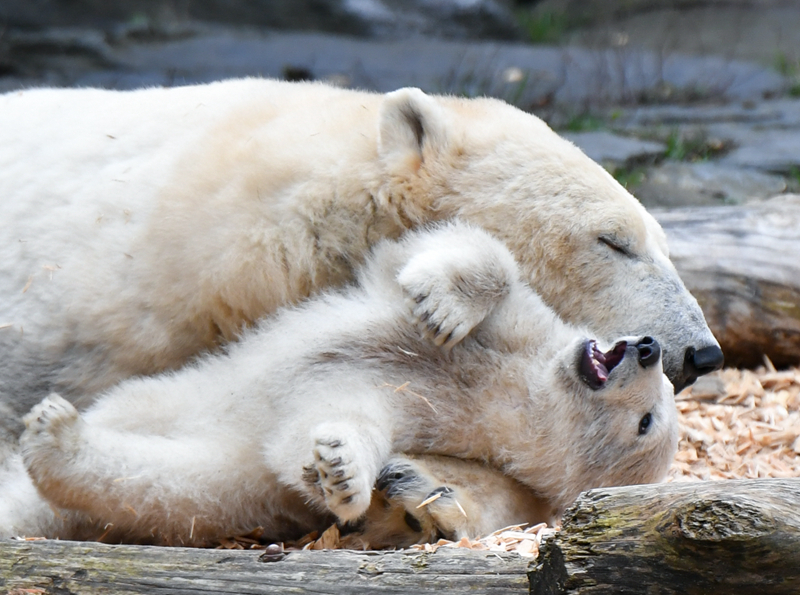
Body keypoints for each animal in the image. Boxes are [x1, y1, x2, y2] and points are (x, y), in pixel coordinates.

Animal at [9, 222, 680, 544]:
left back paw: (56, 440)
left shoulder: (447, 422)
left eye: (646, 421)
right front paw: (443, 306)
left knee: (164, 483)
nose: (649, 347)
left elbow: (338, 415)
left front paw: (339, 470)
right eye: (659, 404)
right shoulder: (523, 333)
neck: (514, 388)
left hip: (226, 474)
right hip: (170, 392)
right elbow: (458, 253)